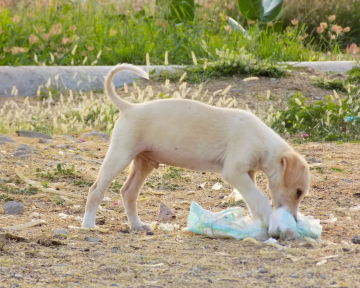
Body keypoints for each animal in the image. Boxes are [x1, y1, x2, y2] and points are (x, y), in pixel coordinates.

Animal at [81, 63, 310, 236]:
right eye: (298, 192)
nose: (295, 220)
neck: (263, 141)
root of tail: (129, 108)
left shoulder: (247, 175)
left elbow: (253, 199)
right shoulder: (235, 172)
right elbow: (260, 198)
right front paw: (271, 221)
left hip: (143, 163)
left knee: (128, 193)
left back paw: (137, 225)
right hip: (120, 155)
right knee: (96, 190)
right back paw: (88, 224)